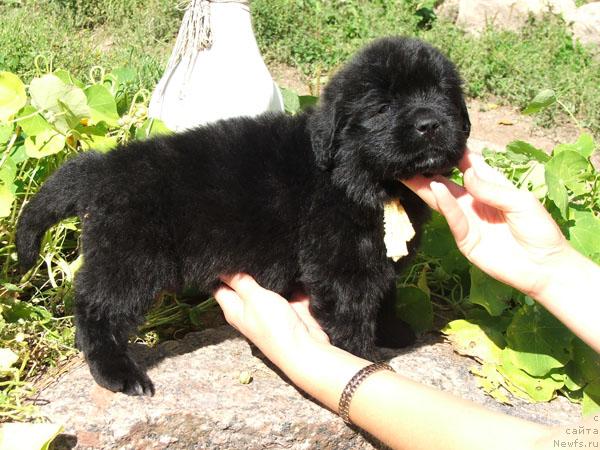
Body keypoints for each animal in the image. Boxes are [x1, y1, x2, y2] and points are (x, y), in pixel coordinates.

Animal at [16, 38, 472, 398]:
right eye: (382, 106)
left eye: (443, 95)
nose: (430, 124)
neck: (362, 174)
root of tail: (102, 166)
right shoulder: (342, 262)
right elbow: (352, 312)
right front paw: (361, 359)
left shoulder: (379, 255)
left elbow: (386, 292)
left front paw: (392, 330)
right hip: (130, 258)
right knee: (96, 308)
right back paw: (118, 373)